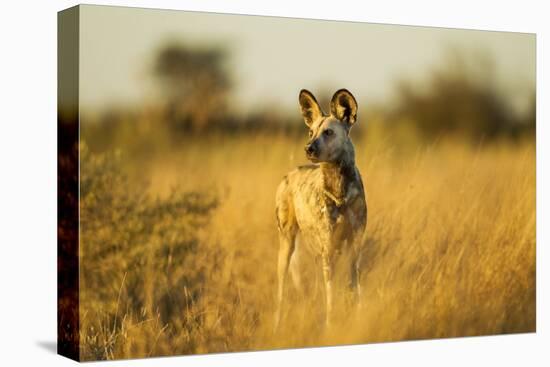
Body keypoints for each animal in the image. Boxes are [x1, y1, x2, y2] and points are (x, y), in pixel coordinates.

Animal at [274, 89, 366, 330]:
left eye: (329, 132)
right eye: (310, 132)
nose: (308, 148)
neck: (340, 191)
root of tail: (289, 174)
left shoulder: (354, 245)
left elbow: (355, 286)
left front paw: (358, 316)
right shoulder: (330, 249)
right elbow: (331, 295)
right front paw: (331, 325)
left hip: (316, 251)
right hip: (287, 245)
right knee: (281, 289)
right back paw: (277, 325)